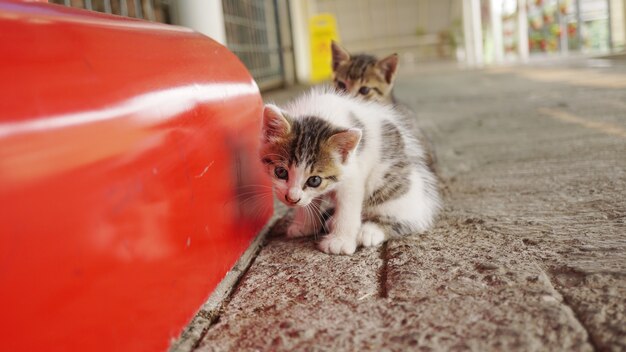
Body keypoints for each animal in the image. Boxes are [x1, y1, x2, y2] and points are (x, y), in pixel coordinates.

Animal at [258, 87, 438, 254]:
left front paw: (339, 242)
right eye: (281, 172)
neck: (321, 112)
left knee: (408, 219)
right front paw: (304, 225)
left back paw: (369, 231)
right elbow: (309, 201)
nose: (291, 199)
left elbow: (348, 208)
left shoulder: (353, 176)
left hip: (388, 185)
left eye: (314, 180)